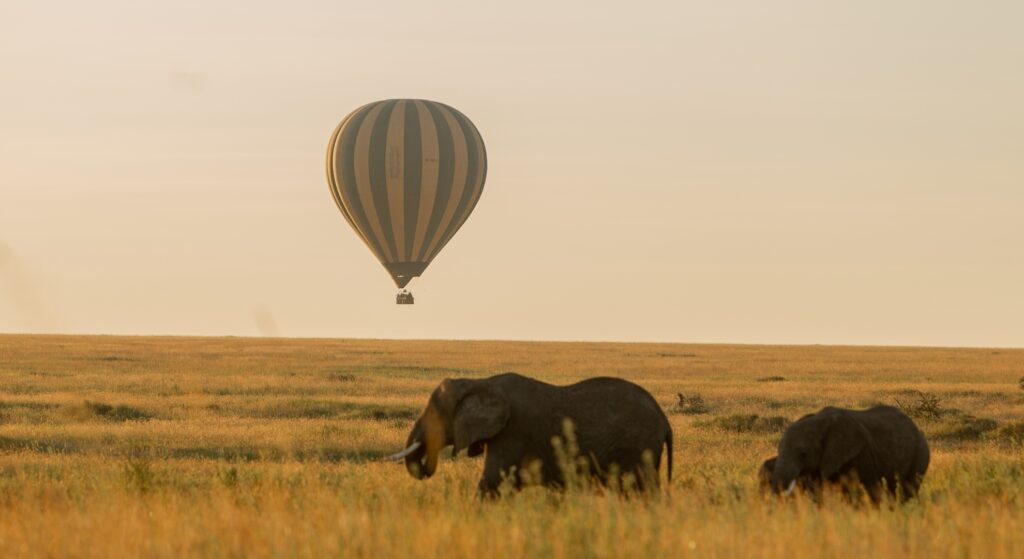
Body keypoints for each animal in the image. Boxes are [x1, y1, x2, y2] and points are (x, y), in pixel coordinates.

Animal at [386, 372, 673, 496]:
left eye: (435, 413)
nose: (425, 465)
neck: (480, 382)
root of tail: (664, 420)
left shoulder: (513, 432)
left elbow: (492, 482)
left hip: (638, 447)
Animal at [771, 405, 930, 502]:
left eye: (803, 454)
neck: (818, 421)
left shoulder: (860, 453)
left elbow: (854, 487)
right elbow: (817, 489)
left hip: (920, 452)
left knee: (909, 485)